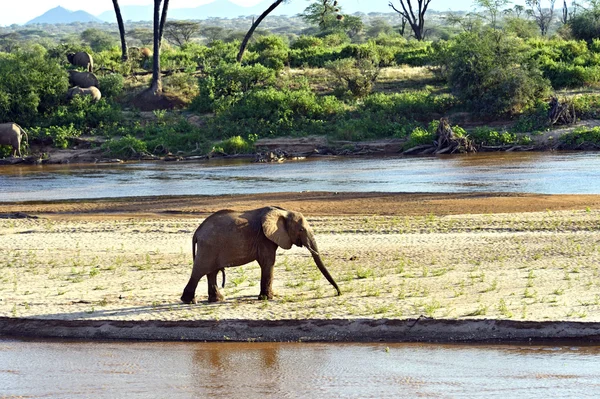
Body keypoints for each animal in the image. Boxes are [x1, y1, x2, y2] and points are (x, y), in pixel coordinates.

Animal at [182, 206, 342, 304]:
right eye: (301, 230)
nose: (338, 293)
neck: (283, 212)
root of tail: (197, 232)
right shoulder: (264, 238)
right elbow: (268, 262)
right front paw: (267, 298)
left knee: (212, 272)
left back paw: (217, 300)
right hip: (208, 247)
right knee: (199, 271)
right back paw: (189, 301)